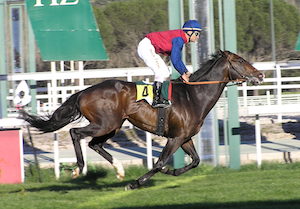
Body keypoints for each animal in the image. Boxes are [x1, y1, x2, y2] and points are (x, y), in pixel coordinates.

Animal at [21, 50, 264, 189]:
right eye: (240, 60)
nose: (260, 75)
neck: (194, 96)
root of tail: (83, 92)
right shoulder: (175, 138)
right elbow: (159, 162)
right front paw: (137, 183)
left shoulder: (185, 137)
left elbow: (195, 161)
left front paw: (172, 172)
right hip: (105, 123)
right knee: (76, 133)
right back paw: (78, 168)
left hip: (113, 126)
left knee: (94, 144)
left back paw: (119, 169)